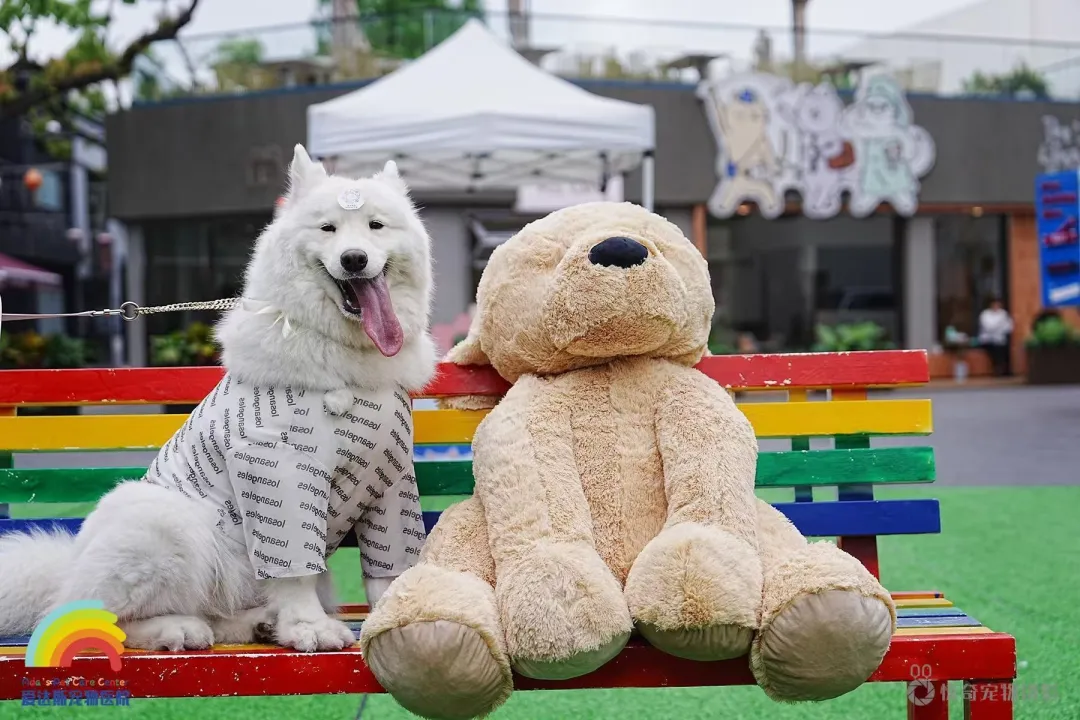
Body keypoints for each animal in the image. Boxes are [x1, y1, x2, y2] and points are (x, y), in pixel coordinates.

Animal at [0, 145, 438, 653]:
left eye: (375, 226)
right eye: (328, 229)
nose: (353, 259)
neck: (343, 356)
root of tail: (67, 568)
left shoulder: (390, 481)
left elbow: (387, 569)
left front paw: (396, 618)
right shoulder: (277, 470)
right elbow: (294, 571)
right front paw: (309, 627)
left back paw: (258, 623)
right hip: (164, 523)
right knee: (97, 617)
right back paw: (177, 629)